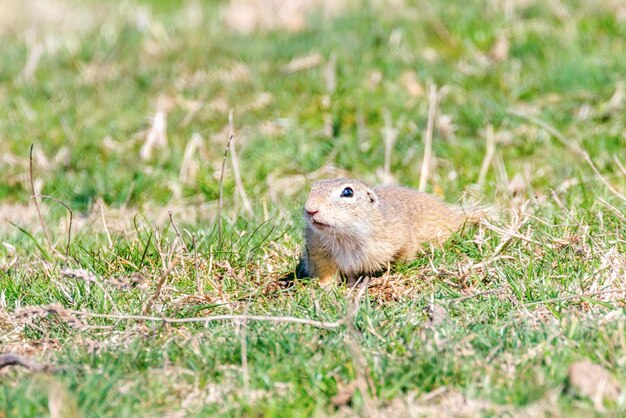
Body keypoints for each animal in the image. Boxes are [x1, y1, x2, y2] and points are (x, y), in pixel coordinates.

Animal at [296, 176, 468, 288]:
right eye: (312, 188)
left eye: (347, 192)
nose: (310, 209)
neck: (344, 237)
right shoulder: (317, 252)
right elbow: (326, 273)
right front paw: (325, 288)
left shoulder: (398, 238)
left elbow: (405, 254)